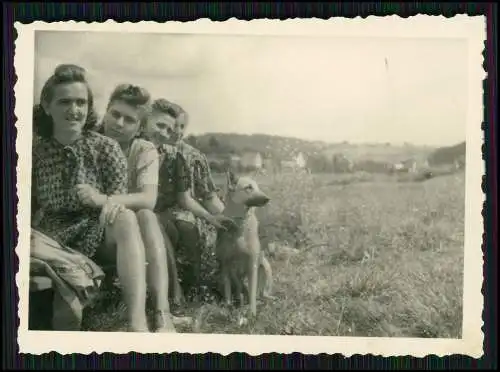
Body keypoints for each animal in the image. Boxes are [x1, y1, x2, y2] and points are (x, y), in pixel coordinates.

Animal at [216, 171, 276, 316]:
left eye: (257, 187)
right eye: (248, 187)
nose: (268, 199)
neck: (239, 223)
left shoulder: (252, 264)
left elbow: (252, 294)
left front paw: (252, 314)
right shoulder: (225, 265)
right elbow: (228, 291)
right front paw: (228, 308)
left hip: (265, 268)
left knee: (261, 294)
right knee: (240, 290)